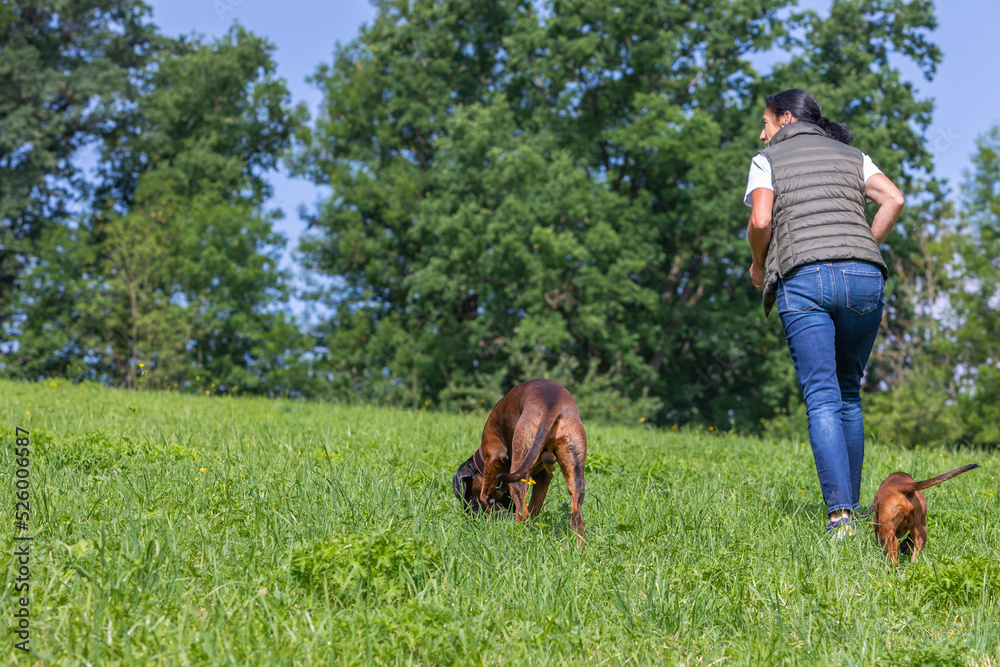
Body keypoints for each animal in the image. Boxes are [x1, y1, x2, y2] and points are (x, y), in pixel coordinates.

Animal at [454, 378, 584, 540]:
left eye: (469, 499)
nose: (471, 518)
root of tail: (551, 404)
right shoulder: (543, 477)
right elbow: (534, 508)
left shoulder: (494, 456)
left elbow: (485, 497)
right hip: (574, 467)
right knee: (576, 515)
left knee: (519, 506)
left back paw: (517, 533)